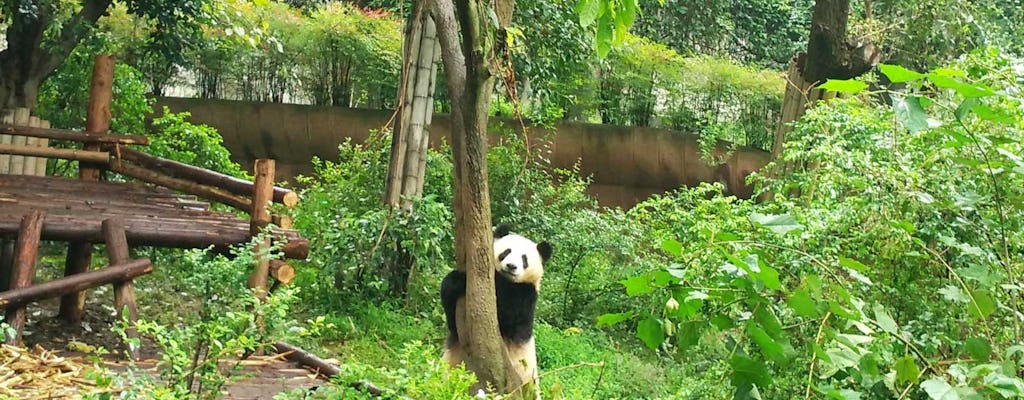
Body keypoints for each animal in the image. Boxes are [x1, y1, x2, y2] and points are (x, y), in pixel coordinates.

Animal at [440, 224, 552, 392]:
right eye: (506, 252)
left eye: (524, 259)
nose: (511, 266)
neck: (508, 280)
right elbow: (453, 322)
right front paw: (455, 281)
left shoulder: (526, 295)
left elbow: (506, 313)